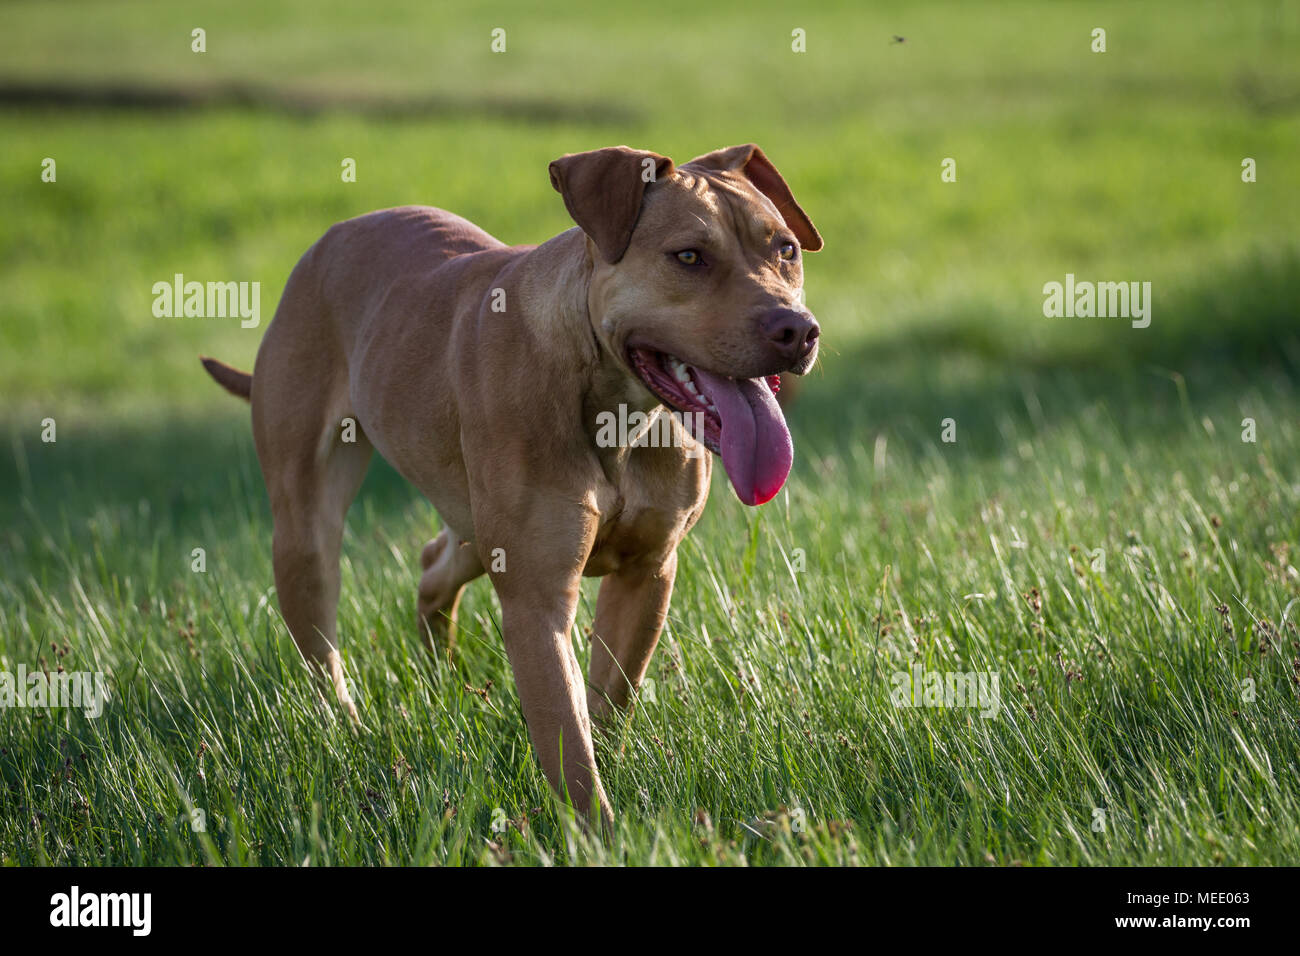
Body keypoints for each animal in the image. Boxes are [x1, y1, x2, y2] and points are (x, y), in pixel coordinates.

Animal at [197, 141, 816, 832]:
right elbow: (568, 737)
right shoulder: (537, 601)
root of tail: (333, 236)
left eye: (785, 249)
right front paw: (600, 835)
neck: (612, 400)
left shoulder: (647, 571)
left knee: (435, 565)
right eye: (688, 257)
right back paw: (346, 731)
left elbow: (605, 702)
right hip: (306, 527)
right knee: (320, 638)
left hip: (472, 523)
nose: (796, 329)